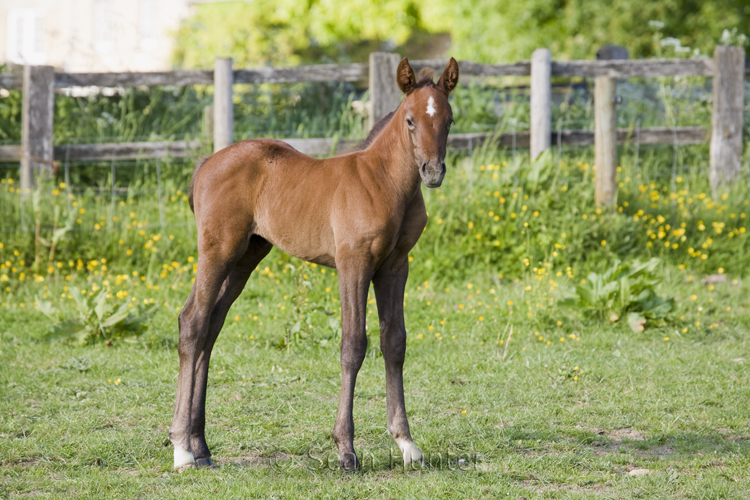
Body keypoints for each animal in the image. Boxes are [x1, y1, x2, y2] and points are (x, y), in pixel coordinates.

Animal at [171, 56, 462, 470]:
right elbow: (353, 345)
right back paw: (182, 449)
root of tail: (207, 161)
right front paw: (346, 449)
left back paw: (201, 447)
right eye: (410, 120)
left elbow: (395, 342)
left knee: (209, 325)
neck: (384, 183)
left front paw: (407, 443)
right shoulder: (353, 264)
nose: (433, 172)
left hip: (246, 257)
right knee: (193, 323)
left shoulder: (395, 267)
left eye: (449, 120)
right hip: (218, 251)